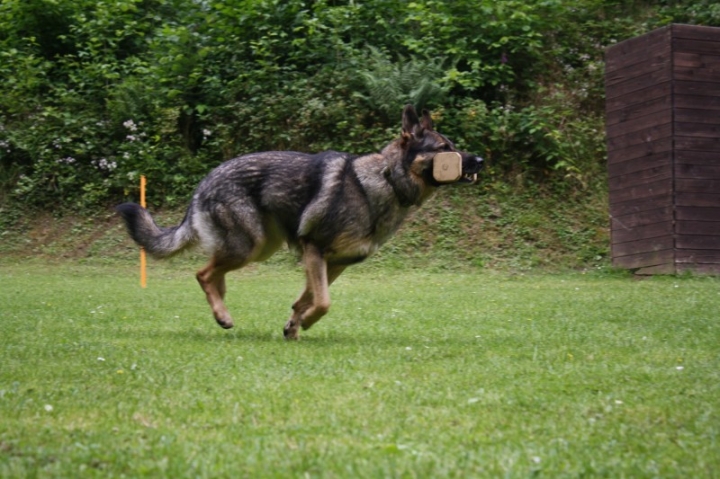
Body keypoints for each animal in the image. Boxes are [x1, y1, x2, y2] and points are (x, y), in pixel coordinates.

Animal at [116, 105, 484, 340]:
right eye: (444, 148)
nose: (480, 159)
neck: (387, 180)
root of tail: (202, 184)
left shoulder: (334, 264)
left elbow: (307, 298)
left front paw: (293, 325)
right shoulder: (314, 250)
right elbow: (322, 302)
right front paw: (304, 323)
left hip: (259, 247)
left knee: (213, 275)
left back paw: (221, 310)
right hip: (248, 246)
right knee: (203, 273)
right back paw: (222, 314)